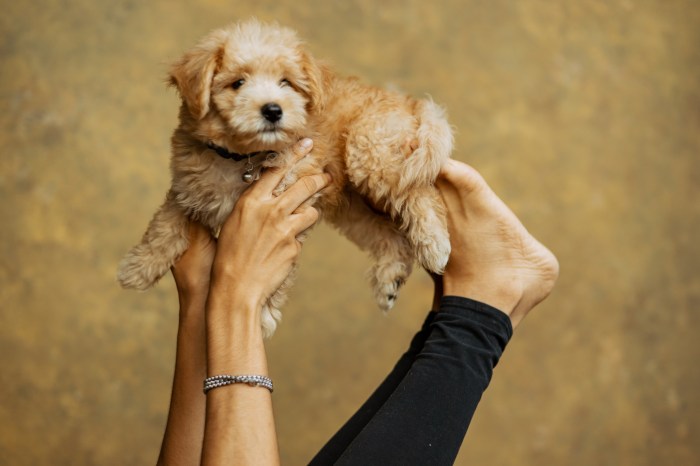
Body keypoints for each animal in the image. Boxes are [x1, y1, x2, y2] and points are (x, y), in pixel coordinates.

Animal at [117, 20, 452, 334]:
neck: (245, 157)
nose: (273, 110)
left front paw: (263, 313)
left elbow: (277, 273)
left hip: (372, 155)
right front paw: (140, 267)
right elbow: (165, 225)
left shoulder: (290, 212)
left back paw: (434, 245)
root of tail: (407, 102)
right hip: (356, 206)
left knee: (420, 192)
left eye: (286, 82)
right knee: (390, 235)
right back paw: (389, 281)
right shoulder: (187, 188)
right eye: (238, 83)